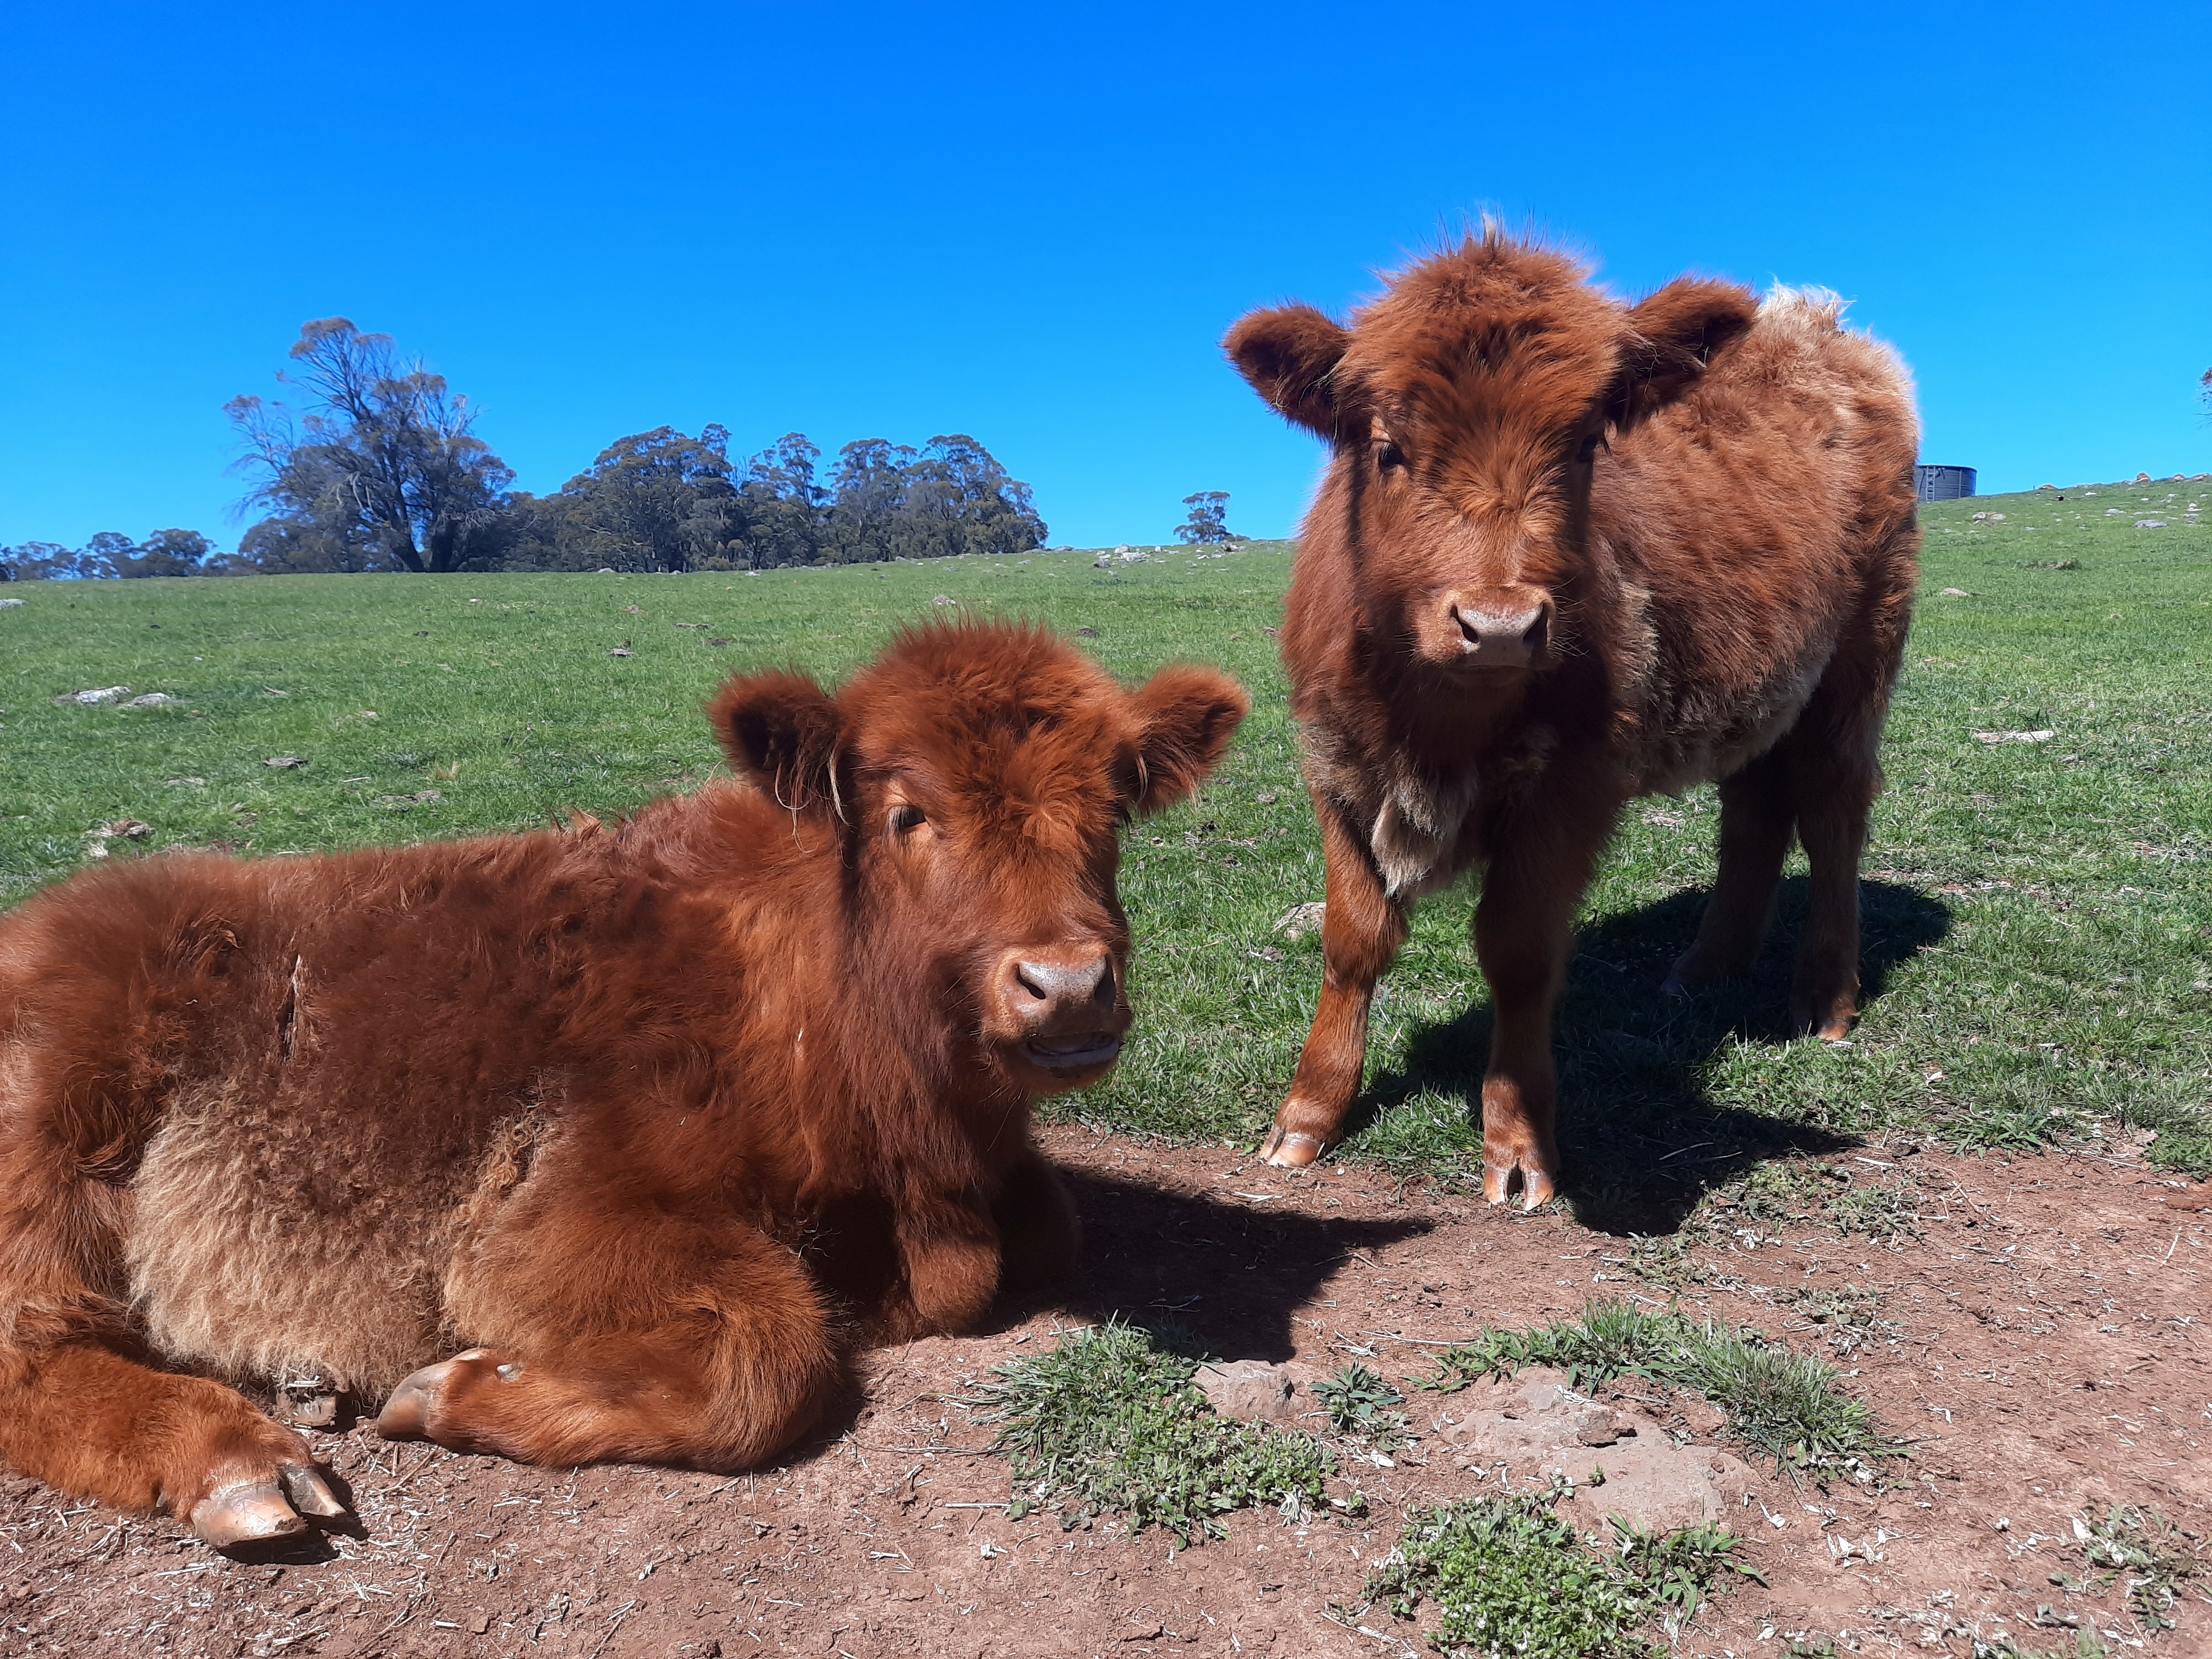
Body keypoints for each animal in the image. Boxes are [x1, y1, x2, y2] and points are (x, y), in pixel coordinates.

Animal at [0, 620, 1246, 1547]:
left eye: (1111, 812)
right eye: (909, 814)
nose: (1068, 986)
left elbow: (1048, 1231)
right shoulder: (559, 1219)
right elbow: (769, 1363)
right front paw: (452, 1389)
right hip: (50, 1150)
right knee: (32, 1350)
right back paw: (236, 1462)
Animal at [1225, 230, 1920, 1206]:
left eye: (1588, 444)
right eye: (1389, 449)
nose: (1500, 625)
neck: (1435, 727)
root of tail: (1813, 319)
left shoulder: (1571, 787)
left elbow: (1517, 951)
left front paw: (1518, 1144)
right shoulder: (1337, 765)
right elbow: (1353, 942)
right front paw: (1308, 1115)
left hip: (1857, 665)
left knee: (1831, 815)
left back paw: (1826, 997)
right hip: (1759, 686)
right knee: (1754, 812)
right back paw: (1704, 969)